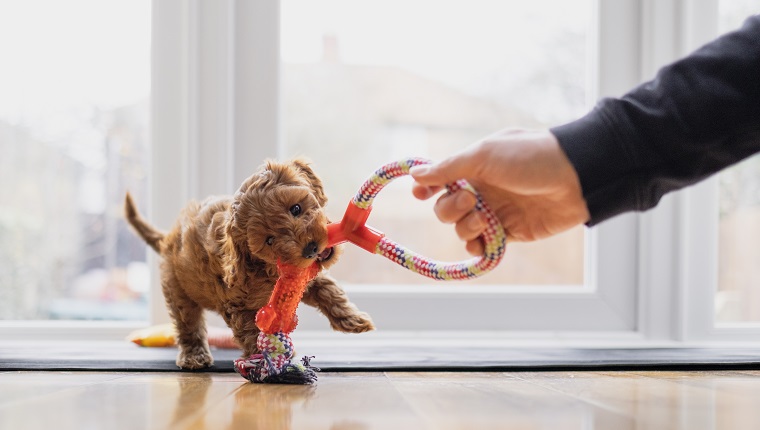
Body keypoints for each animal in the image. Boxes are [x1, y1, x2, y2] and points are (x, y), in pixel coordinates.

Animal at [124, 159, 374, 370]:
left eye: (295, 208)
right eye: (270, 240)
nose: (310, 248)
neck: (268, 267)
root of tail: (169, 238)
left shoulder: (306, 276)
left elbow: (329, 292)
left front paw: (353, 320)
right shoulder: (238, 305)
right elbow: (251, 331)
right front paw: (267, 361)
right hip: (178, 289)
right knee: (188, 324)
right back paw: (194, 356)